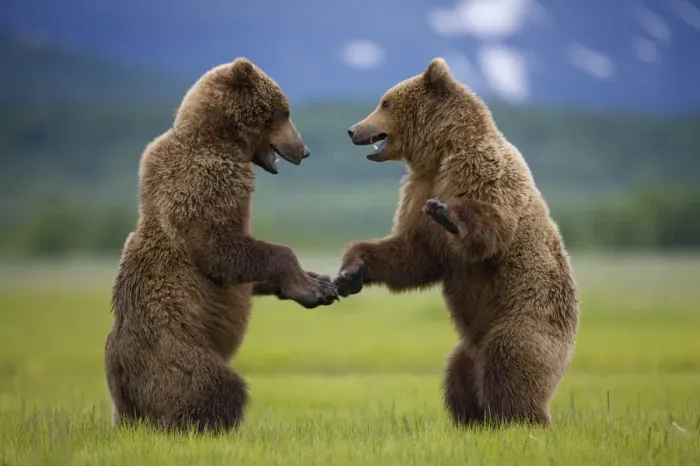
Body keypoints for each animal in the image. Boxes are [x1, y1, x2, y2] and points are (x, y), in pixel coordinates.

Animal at [105, 57, 339, 434]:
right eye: (284, 112)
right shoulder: (207, 181)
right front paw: (312, 287)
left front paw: (318, 280)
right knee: (213, 387)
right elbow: (220, 249)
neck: (222, 140)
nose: (304, 150)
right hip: (176, 352)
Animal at [334, 58, 579, 427]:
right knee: (458, 375)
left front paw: (447, 214)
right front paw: (351, 271)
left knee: (511, 364)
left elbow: (491, 230)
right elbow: (414, 254)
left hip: (527, 320)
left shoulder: (481, 171)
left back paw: (521, 419)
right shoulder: (418, 188)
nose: (352, 130)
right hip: (469, 346)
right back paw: (471, 418)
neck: (441, 151)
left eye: (385, 102)